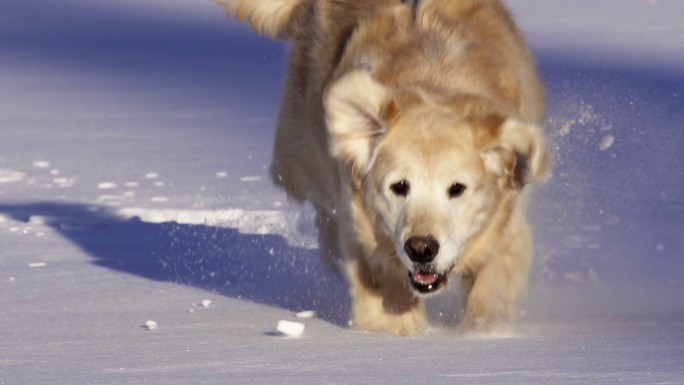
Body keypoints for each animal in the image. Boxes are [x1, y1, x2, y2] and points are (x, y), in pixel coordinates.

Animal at [218, 0, 552, 332]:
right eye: (399, 186)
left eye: (457, 189)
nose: (421, 249)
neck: (435, 81)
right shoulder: (361, 227)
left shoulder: (507, 223)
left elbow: (489, 293)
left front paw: (480, 333)